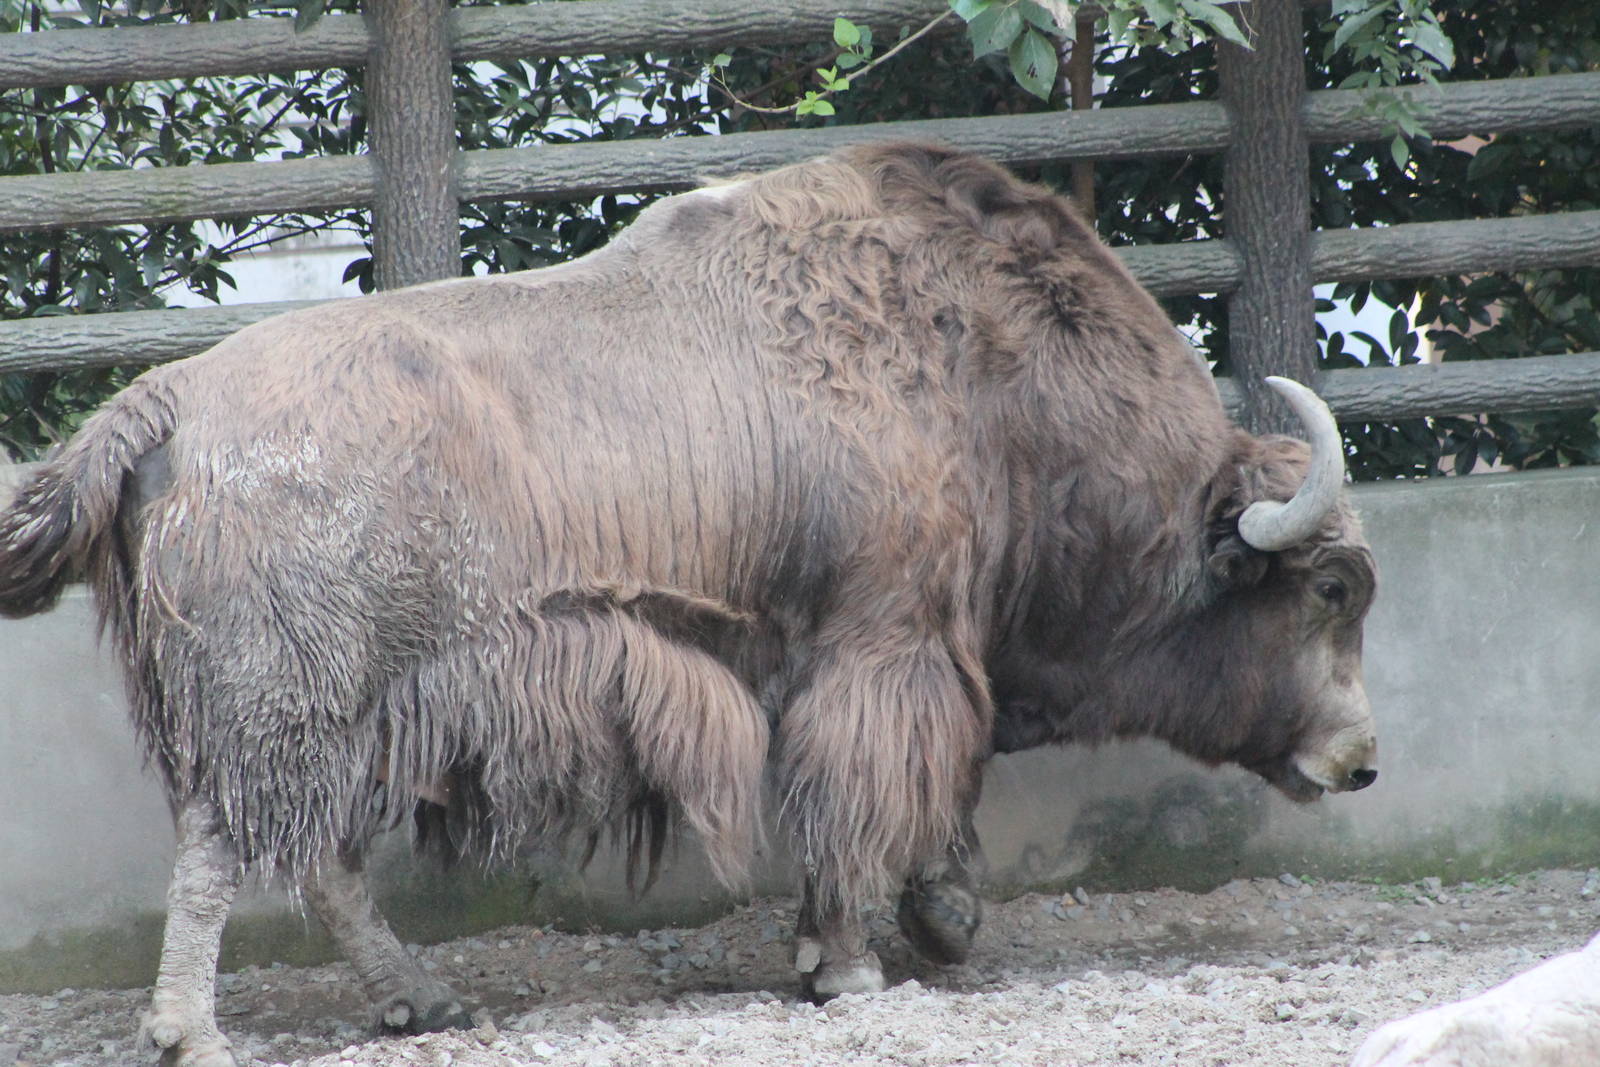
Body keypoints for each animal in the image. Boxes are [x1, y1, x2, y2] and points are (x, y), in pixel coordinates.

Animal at [0, 142, 1377, 1066]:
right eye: (1328, 587)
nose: (1359, 759)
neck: (989, 377)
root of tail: (166, 400)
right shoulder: (886, 642)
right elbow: (878, 788)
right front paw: (858, 963)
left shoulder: (880, 654)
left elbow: (919, 782)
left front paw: (889, 932)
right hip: (285, 718)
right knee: (225, 856)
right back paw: (193, 1032)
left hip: (352, 724)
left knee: (320, 866)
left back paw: (425, 1000)